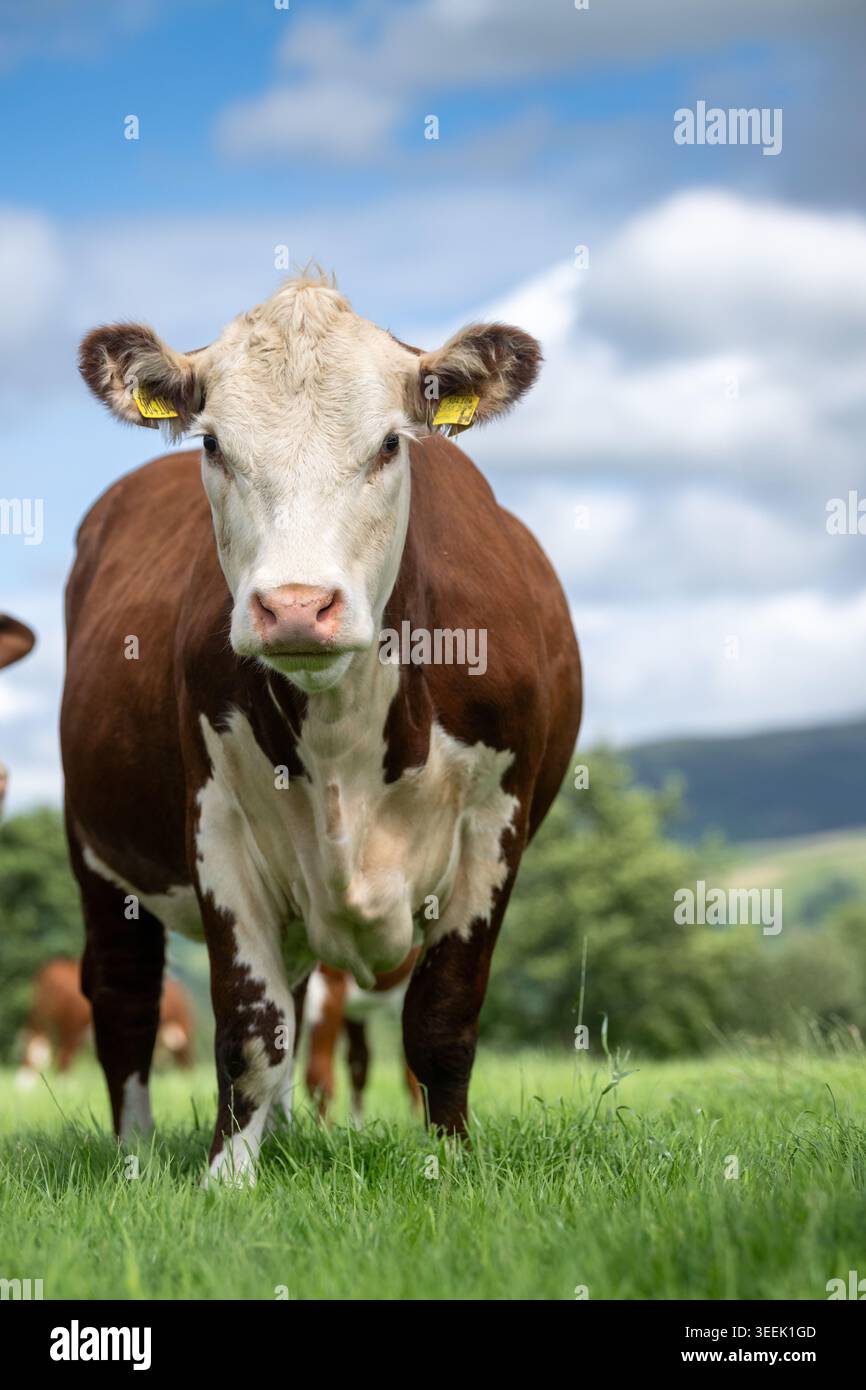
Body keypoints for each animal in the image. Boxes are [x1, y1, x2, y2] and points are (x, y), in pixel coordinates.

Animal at [305, 952, 422, 1122]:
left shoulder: (328, 985)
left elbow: (318, 1075)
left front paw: (322, 1128)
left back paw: (417, 1123)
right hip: (355, 1011)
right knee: (359, 1062)